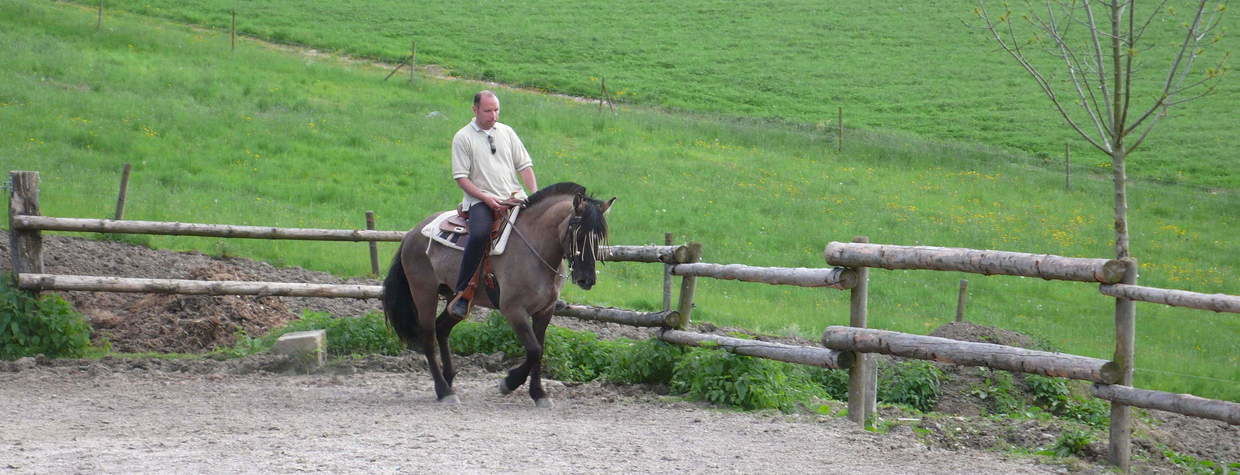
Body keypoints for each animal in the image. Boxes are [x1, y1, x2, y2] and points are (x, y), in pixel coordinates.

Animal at [376, 183, 610, 406]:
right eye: (578, 232)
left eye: (600, 236)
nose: (587, 279)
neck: (535, 249)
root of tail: (411, 233)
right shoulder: (513, 310)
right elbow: (534, 349)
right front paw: (509, 383)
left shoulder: (545, 311)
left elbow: (540, 350)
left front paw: (539, 394)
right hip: (424, 292)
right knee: (428, 336)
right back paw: (444, 391)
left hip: (457, 298)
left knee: (442, 328)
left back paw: (448, 379)